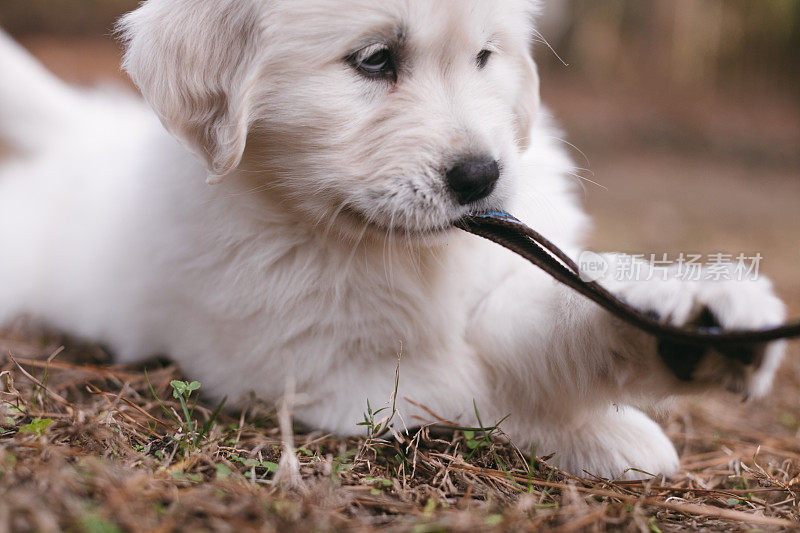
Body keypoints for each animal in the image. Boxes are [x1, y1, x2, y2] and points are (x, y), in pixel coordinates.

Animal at [0, 1, 788, 478]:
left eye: (485, 56)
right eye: (375, 59)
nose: (482, 177)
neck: (386, 247)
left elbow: (544, 306)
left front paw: (685, 311)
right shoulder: (319, 375)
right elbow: (485, 379)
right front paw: (615, 433)